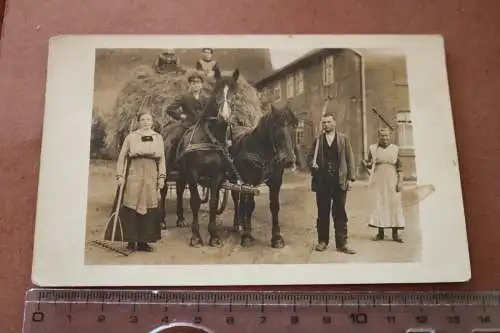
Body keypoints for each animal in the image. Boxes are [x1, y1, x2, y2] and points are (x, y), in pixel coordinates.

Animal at [159, 67, 239, 246]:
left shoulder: (216, 176)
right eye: (216, 91)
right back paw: (162, 221)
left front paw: (214, 235)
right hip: (167, 171)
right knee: (163, 190)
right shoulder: (193, 174)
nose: (224, 117)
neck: (208, 138)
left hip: (182, 174)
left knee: (179, 190)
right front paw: (196, 236)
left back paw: (180, 218)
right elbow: (195, 201)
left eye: (234, 93)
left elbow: (213, 203)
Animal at [229, 103, 296, 246]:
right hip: (232, 177)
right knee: (236, 198)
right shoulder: (250, 181)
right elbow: (248, 204)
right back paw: (237, 223)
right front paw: (247, 236)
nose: (288, 160)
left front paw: (277, 237)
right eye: (275, 126)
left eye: (294, 125)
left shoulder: (276, 182)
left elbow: (274, 206)